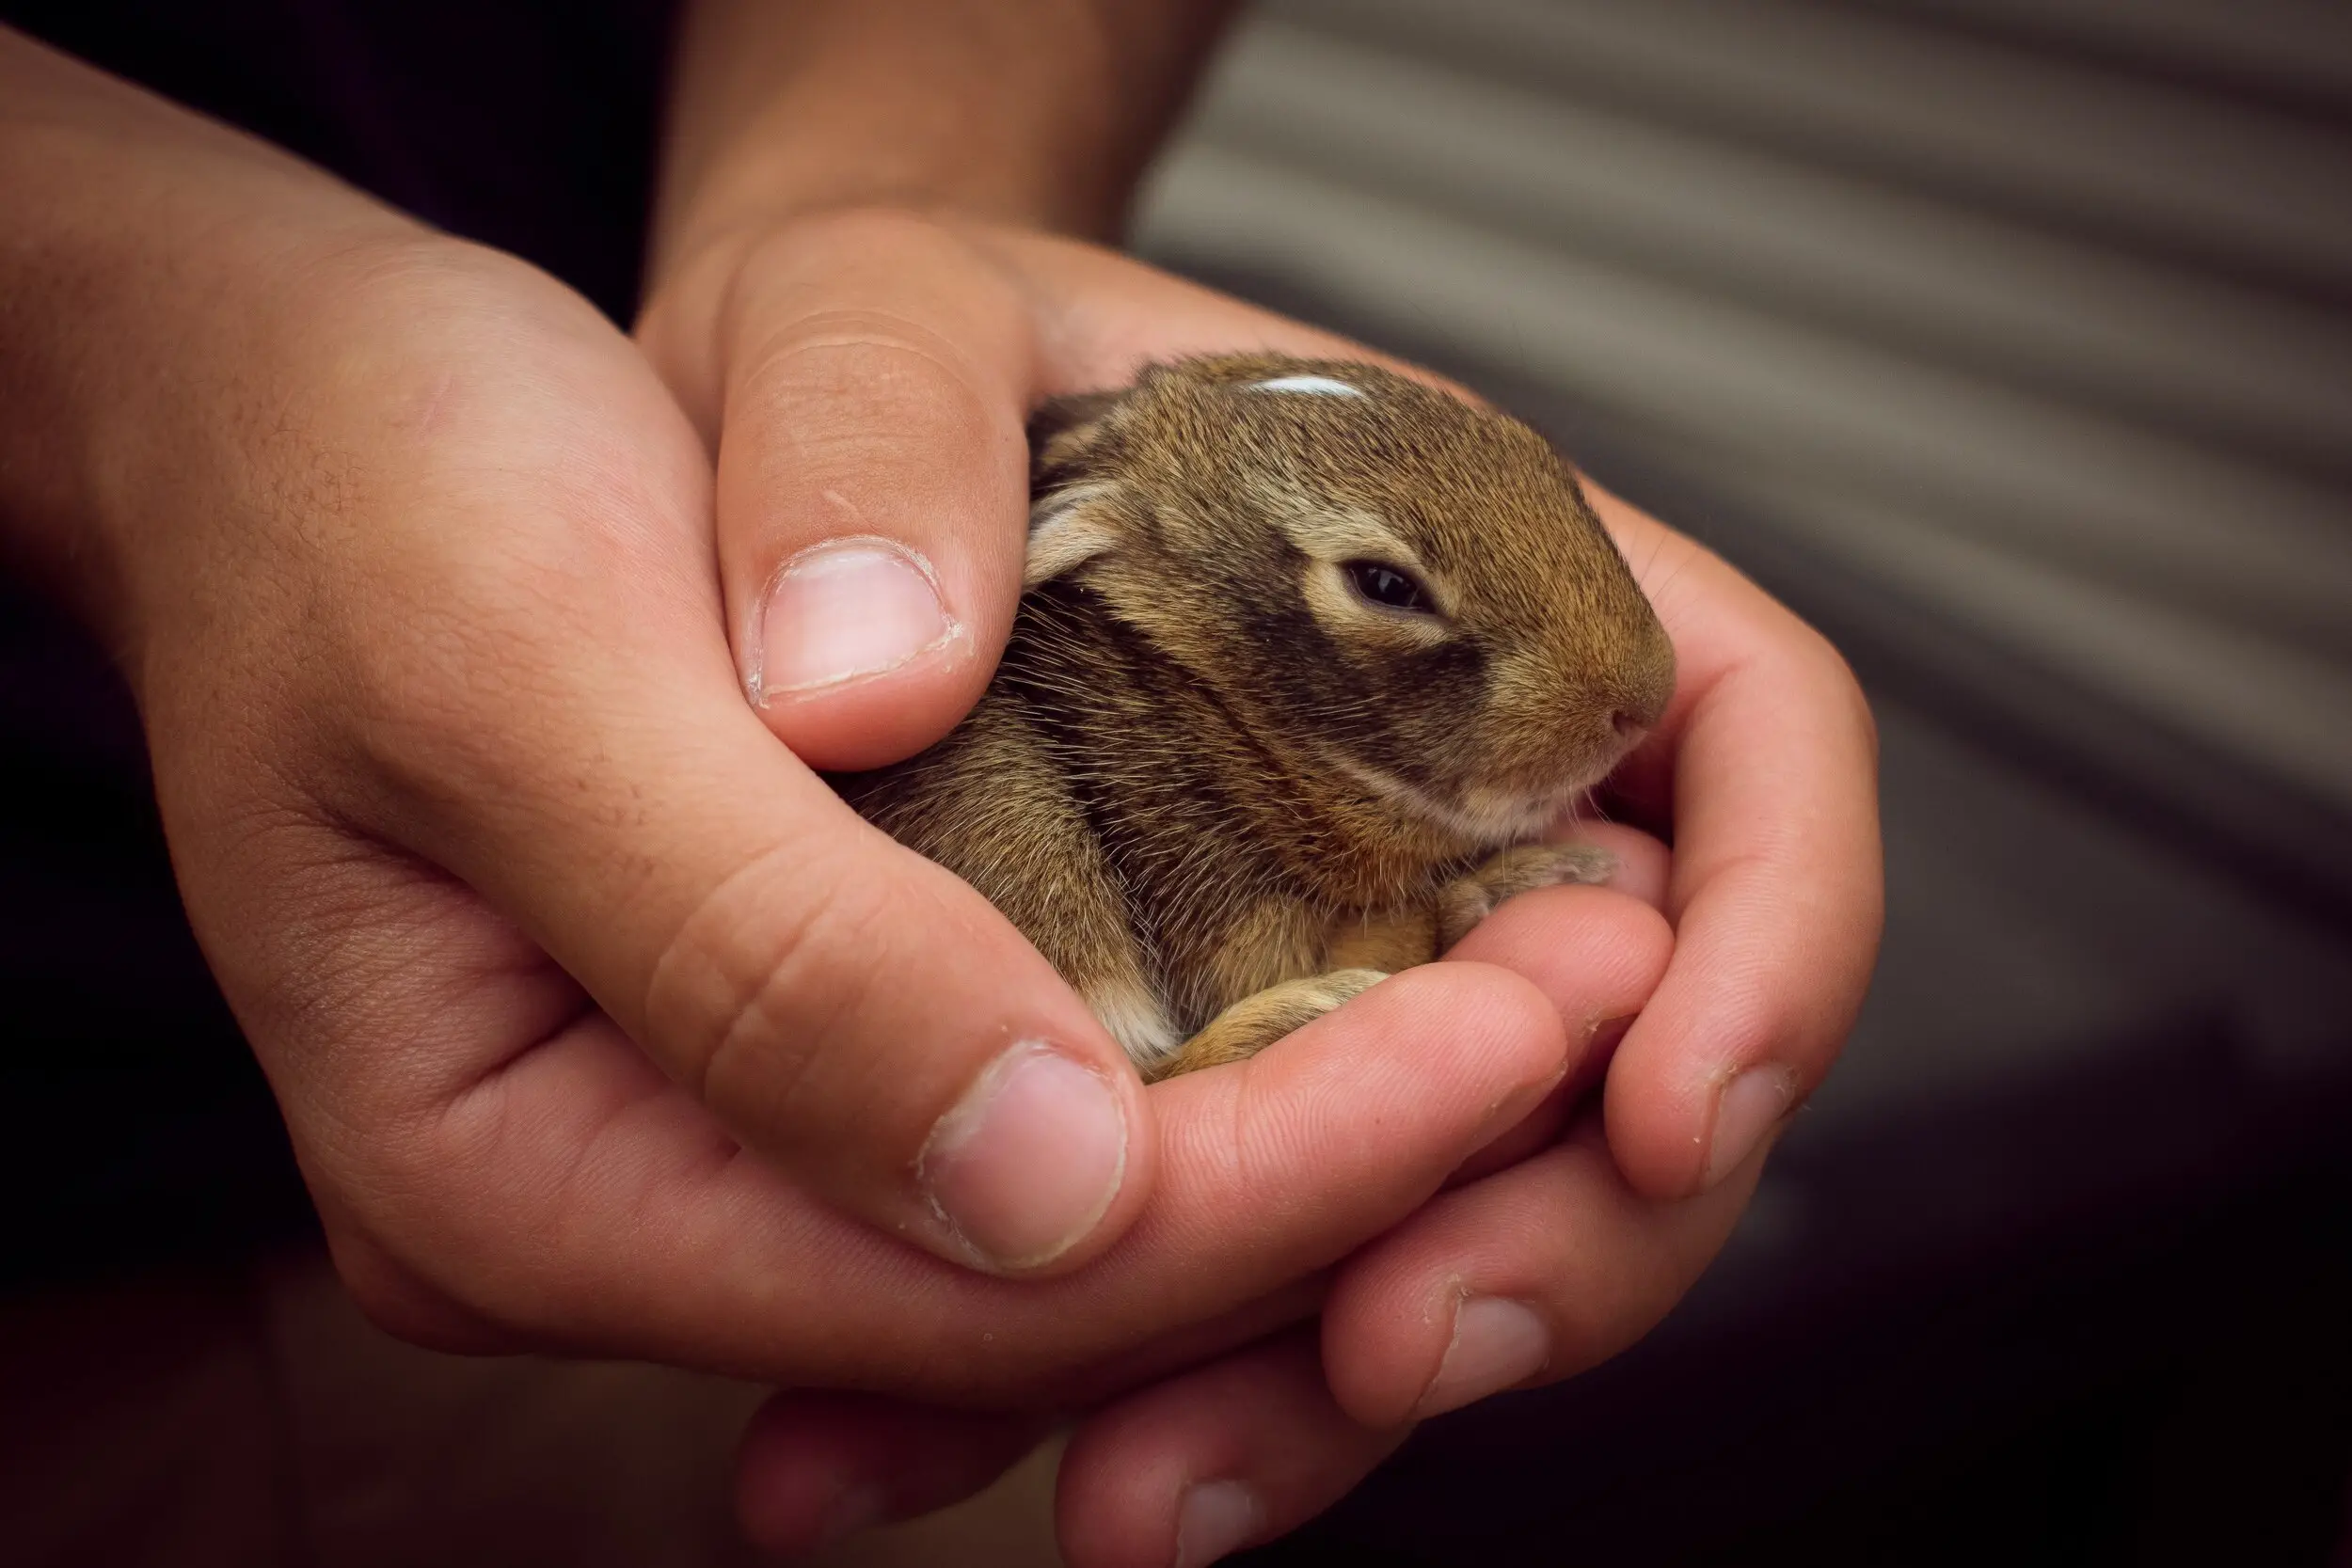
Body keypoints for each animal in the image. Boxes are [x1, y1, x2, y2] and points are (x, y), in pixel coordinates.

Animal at [828, 355, 1675, 1081]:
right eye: (1384, 584)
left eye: (1531, 449)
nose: (1646, 699)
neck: (1237, 718)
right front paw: (1510, 883)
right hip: (1018, 835)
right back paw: (1315, 1008)